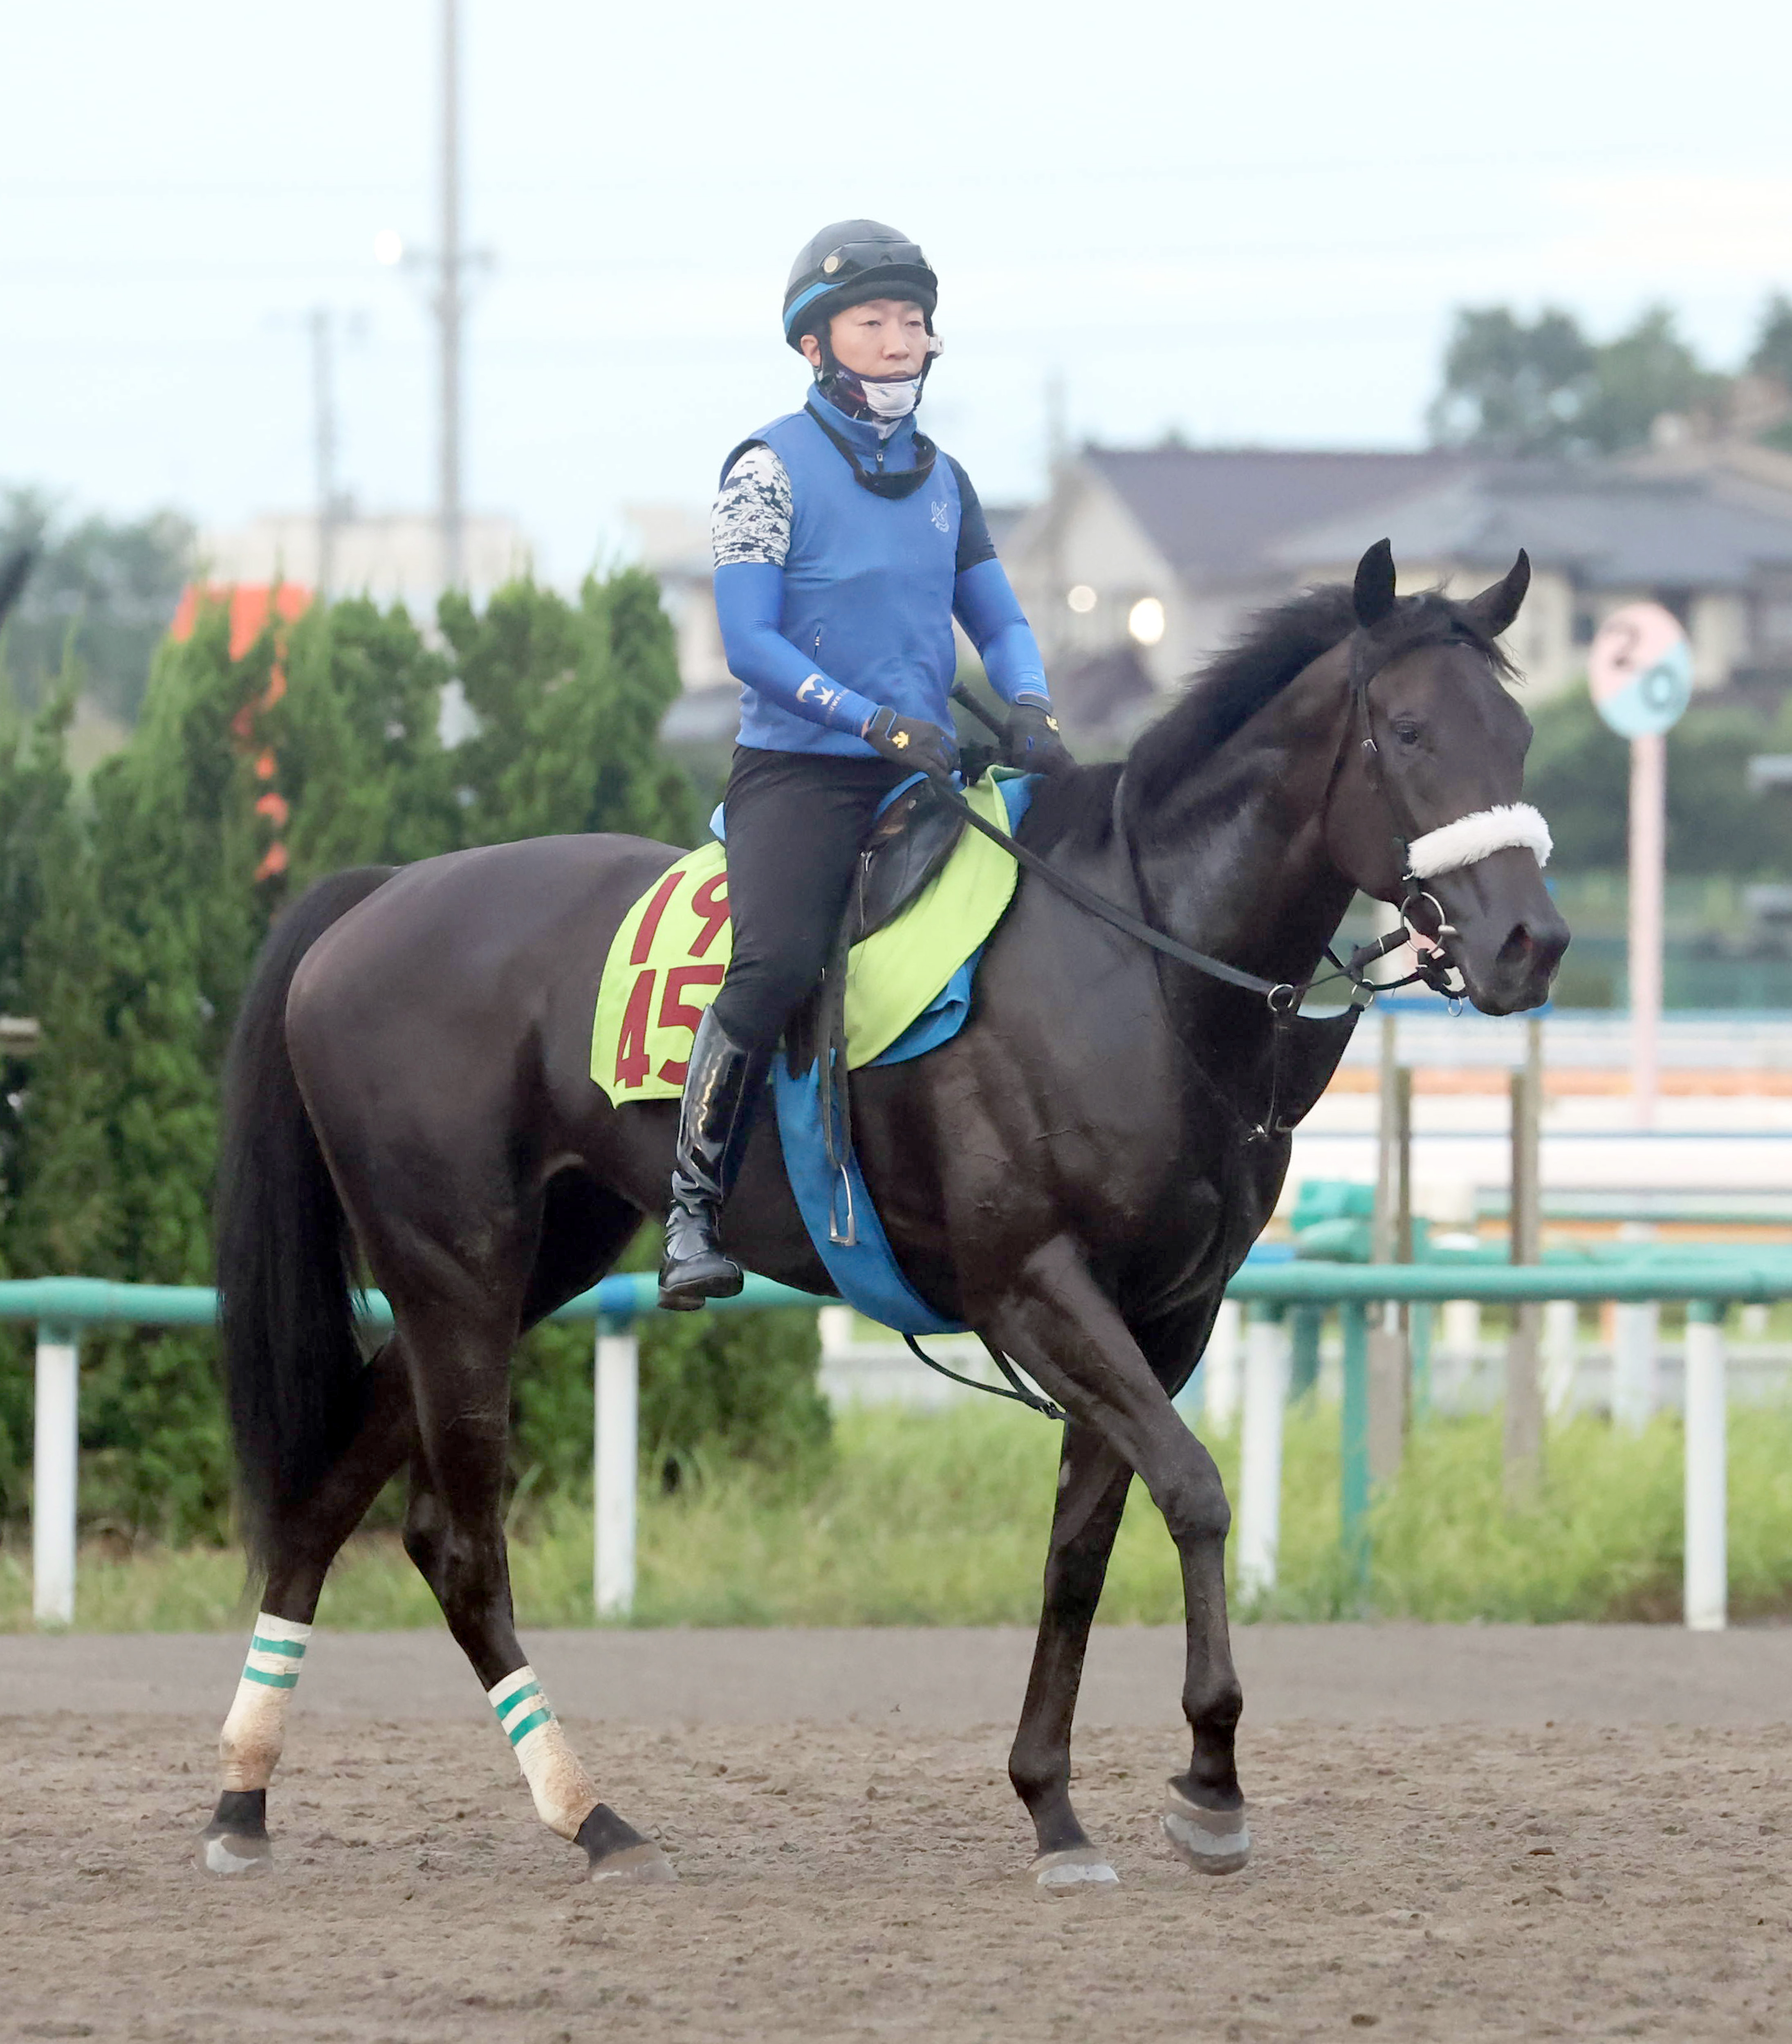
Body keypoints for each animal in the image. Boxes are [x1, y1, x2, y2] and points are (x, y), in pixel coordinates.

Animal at [202, 539, 1567, 1888]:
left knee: (330, 1500)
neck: (1144, 964)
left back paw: (243, 1797)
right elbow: (1192, 1489)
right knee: (461, 1541)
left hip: (520, 1262)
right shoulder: (1031, 1282)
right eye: (1406, 729)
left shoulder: (1164, 1311)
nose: (1530, 940)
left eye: (1516, 732)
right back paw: (590, 1814)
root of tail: (375, 899)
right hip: (457, 1266)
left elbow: (1082, 1545)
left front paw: (1053, 1802)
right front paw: (1210, 1779)